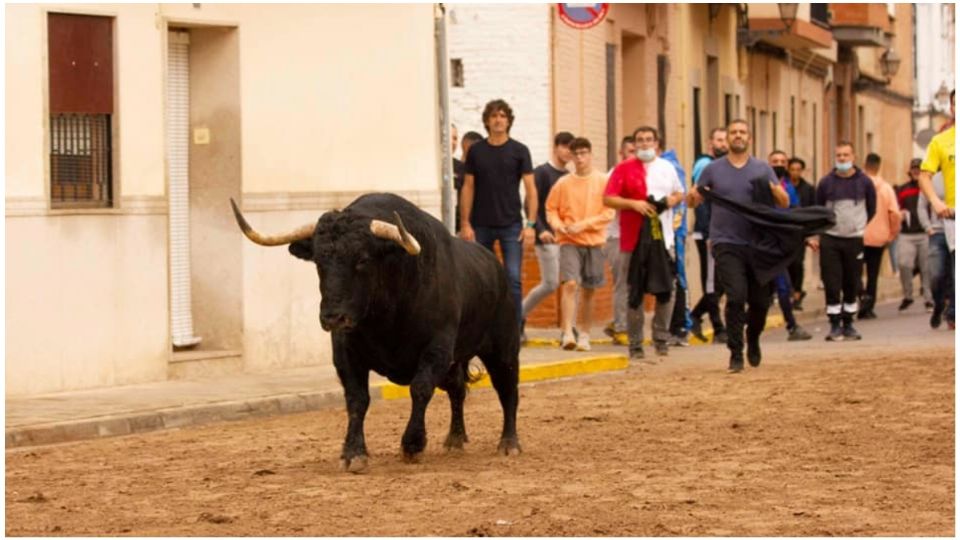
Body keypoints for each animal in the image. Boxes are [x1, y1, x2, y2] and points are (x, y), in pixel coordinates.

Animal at [230, 192, 520, 470]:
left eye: (362, 259)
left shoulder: (436, 349)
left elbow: (420, 388)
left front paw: (412, 445)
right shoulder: (346, 353)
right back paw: (455, 439)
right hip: (456, 360)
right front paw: (353, 453)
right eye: (319, 261)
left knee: (507, 389)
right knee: (457, 389)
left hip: (503, 349)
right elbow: (357, 398)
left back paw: (509, 443)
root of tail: (496, 267)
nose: (333, 317)